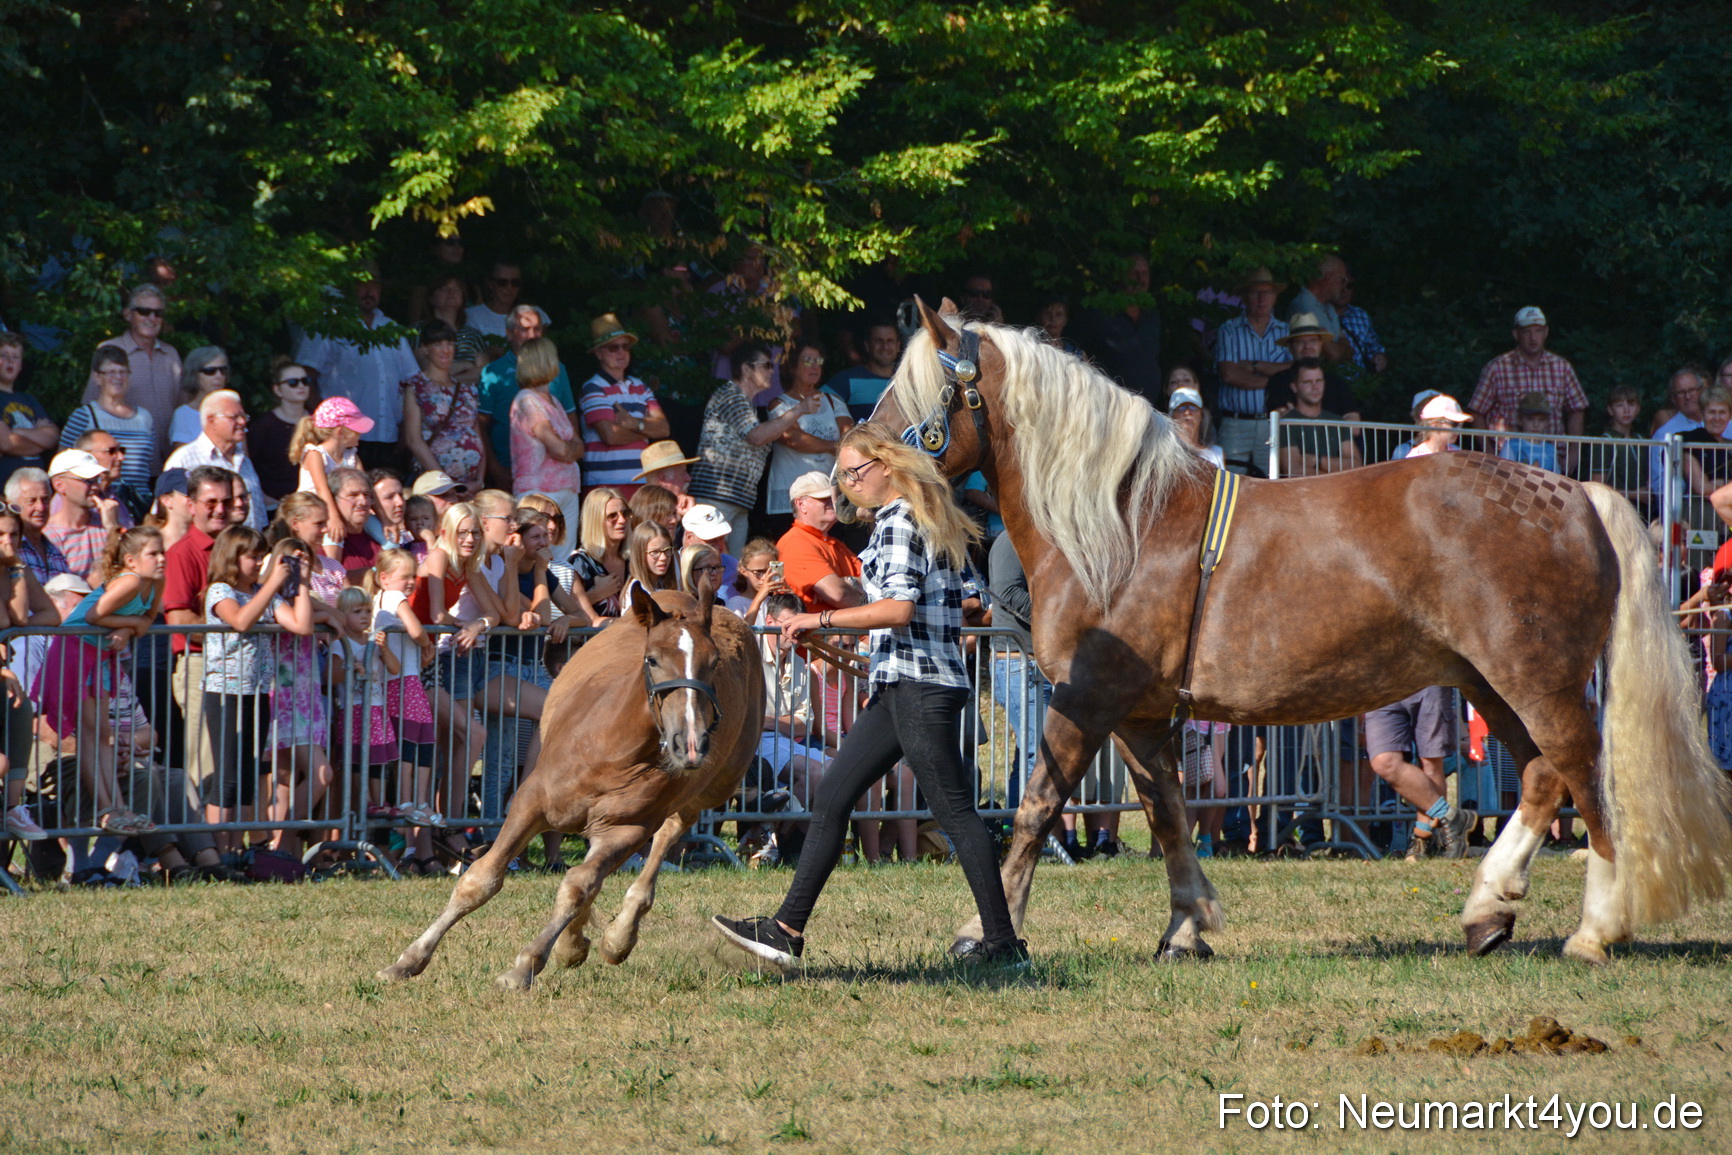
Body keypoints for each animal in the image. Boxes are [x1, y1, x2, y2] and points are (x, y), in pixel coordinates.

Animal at [378, 583, 764, 991]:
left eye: (714, 662)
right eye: (653, 659)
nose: (690, 743)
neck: (613, 748)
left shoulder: (628, 828)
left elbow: (579, 885)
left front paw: (527, 964)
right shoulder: (529, 803)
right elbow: (480, 880)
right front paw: (409, 960)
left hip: (701, 795)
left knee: (662, 839)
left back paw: (614, 936)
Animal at [862, 298, 1732, 965]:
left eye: (917, 394)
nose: (849, 471)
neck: (1123, 525)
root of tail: (1574, 491)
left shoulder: (1088, 697)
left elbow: (1038, 805)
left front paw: (986, 930)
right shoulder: (1140, 713)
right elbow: (1170, 813)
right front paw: (1186, 928)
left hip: (1536, 679)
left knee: (1585, 776)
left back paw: (1594, 930)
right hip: (1488, 681)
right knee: (1545, 776)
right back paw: (1487, 911)